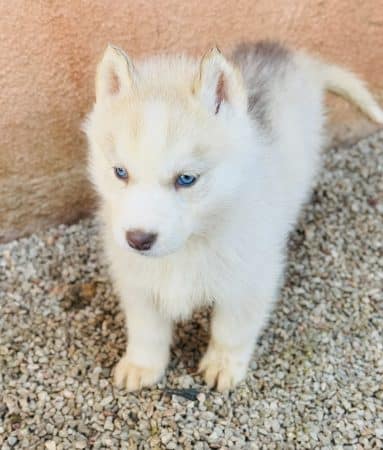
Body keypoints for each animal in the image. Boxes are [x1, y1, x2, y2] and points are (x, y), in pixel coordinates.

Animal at [84, 41, 383, 390]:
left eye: (187, 179)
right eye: (120, 172)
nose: (138, 239)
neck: (187, 247)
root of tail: (294, 57)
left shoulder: (248, 282)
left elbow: (230, 330)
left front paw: (223, 365)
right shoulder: (136, 280)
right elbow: (146, 329)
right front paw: (141, 365)